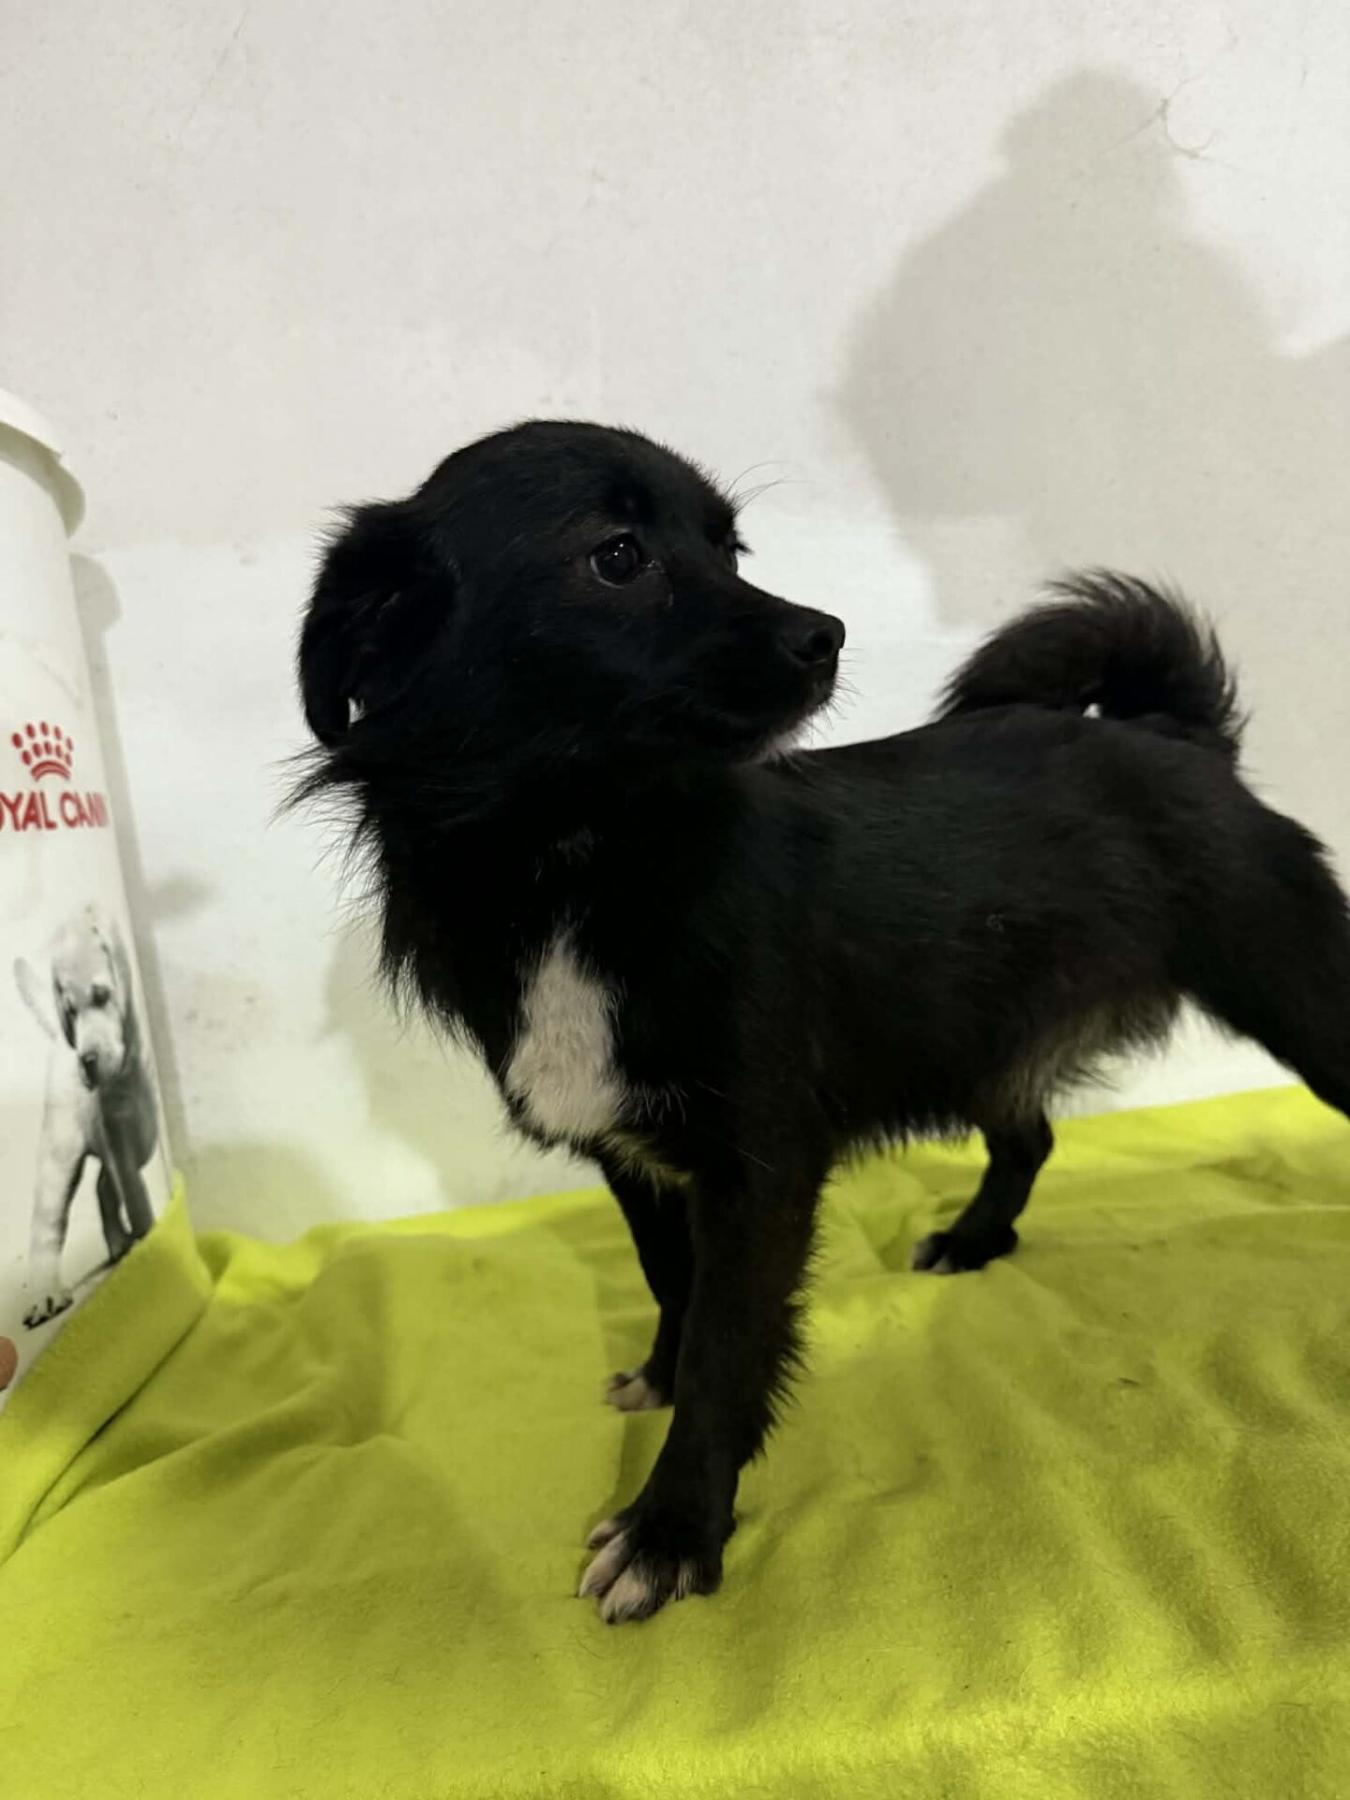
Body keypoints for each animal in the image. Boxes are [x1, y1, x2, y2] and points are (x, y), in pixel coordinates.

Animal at [15, 904, 159, 1327]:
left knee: (102, 1190)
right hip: (59, 1157)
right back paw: (46, 1293)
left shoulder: (123, 1141)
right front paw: (152, 1236)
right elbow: (136, 1195)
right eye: (69, 1012)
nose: (87, 1061)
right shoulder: (118, 1141)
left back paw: (117, 1241)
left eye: (101, 995)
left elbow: (127, 1190)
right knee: (47, 1225)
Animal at [295, 420, 1350, 1623]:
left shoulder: (759, 1167)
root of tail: (1179, 737)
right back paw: (976, 1240)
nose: (827, 635)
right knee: (1030, 1134)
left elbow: (729, 1345)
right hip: (977, 1032)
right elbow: (677, 1286)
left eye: (730, 546)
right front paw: (662, 1378)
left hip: (1295, 988)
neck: (589, 863)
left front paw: (673, 1530)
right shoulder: (638, 1157)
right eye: (617, 556)